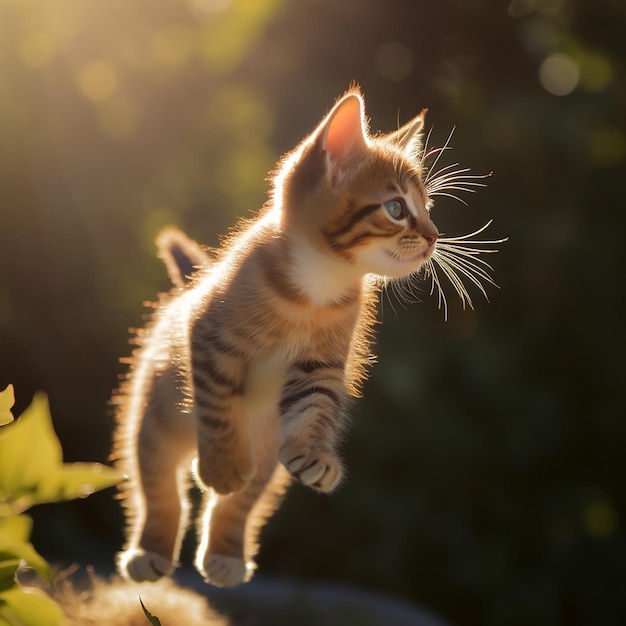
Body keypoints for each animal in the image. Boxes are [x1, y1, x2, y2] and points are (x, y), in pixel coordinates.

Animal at [112, 86, 500, 584]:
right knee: (160, 487)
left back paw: (226, 553)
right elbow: (218, 410)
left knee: (242, 502)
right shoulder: (208, 336)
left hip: (265, 449)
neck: (316, 286)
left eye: (428, 210)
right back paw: (152, 547)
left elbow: (315, 408)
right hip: (155, 417)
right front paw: (222, 465)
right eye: (397, 209)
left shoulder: (321, 366)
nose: (434, 236)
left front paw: (313, 453)